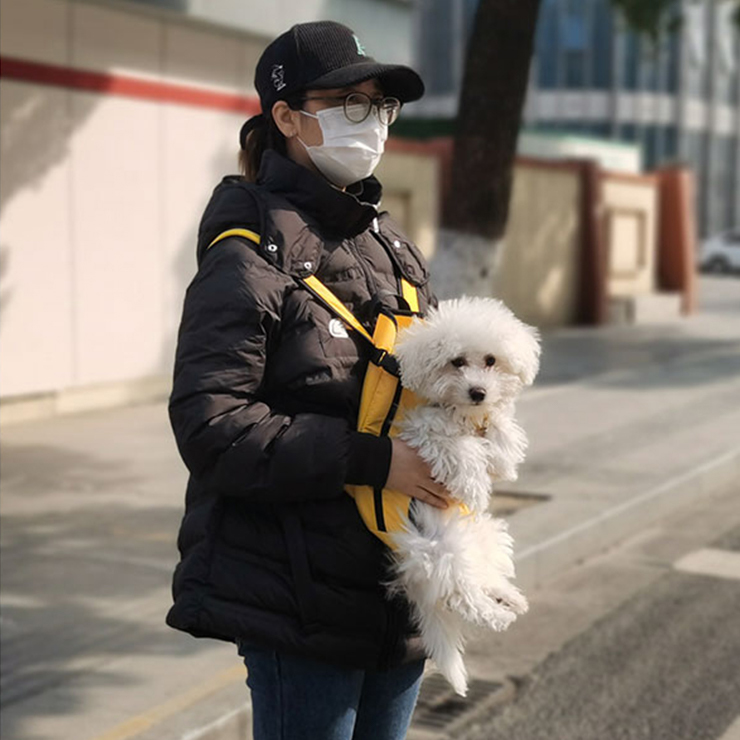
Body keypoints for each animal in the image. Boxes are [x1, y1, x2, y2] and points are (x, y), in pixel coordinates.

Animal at [384, 294, 540, 692]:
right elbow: (459, 447)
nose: (478, 392)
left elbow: (501, 443)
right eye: (456, 362)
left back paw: (509, 597)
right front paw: (473, 484)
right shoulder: (417, 433)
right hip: (441, 553)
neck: (462, 413)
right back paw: (497, 615)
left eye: (491, 360)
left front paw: (498, 441)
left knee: (482, 578)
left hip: (484, 535)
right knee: (463, 597)